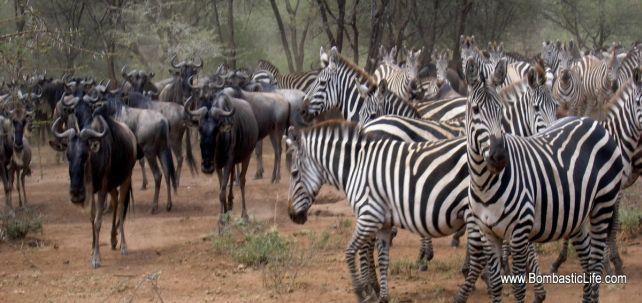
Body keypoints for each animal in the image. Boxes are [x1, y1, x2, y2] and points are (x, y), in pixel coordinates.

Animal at [460, 57, 620, 303]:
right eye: (476, 110)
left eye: (500, 110)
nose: (499, 156)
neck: (483, 183)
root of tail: (591, 122)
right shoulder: (488, 233)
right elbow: (496, 285)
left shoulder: (519, 230)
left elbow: (518, 286)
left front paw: (536, 291)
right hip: (578, 214)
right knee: (586, 261)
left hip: (603, 204)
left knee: (594, 263)